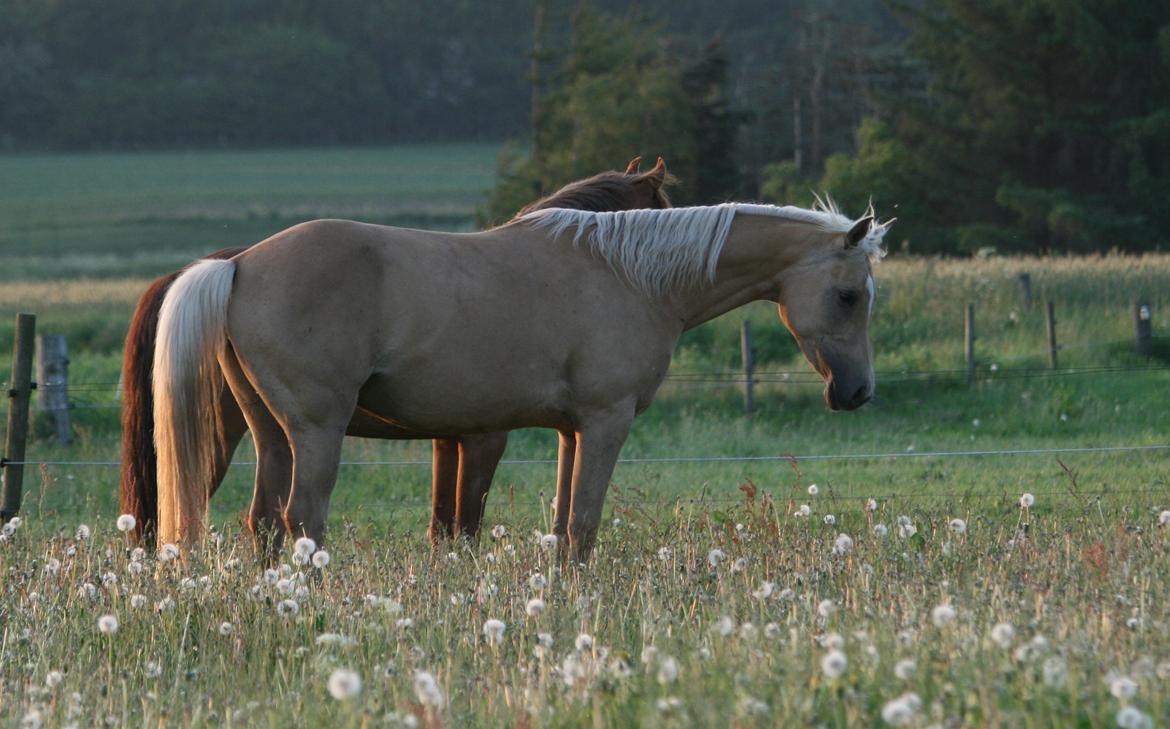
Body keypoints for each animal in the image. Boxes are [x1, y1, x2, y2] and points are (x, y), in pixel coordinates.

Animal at [119, 159, 673, 547]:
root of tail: (235, 266)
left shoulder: (448, 441)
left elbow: (444, 527)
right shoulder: (484, 440)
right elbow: (466, 524)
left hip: (265, 433)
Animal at [150, 194, 889, 559]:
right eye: (850, 294)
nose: (857, 393)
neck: (632, 277)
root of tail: (239, 263)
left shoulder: (570, 432)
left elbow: (563, 527)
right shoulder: (605, 423)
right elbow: (584, 526)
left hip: (271, 435)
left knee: (264, 523)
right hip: (315, 432)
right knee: (304, 518)